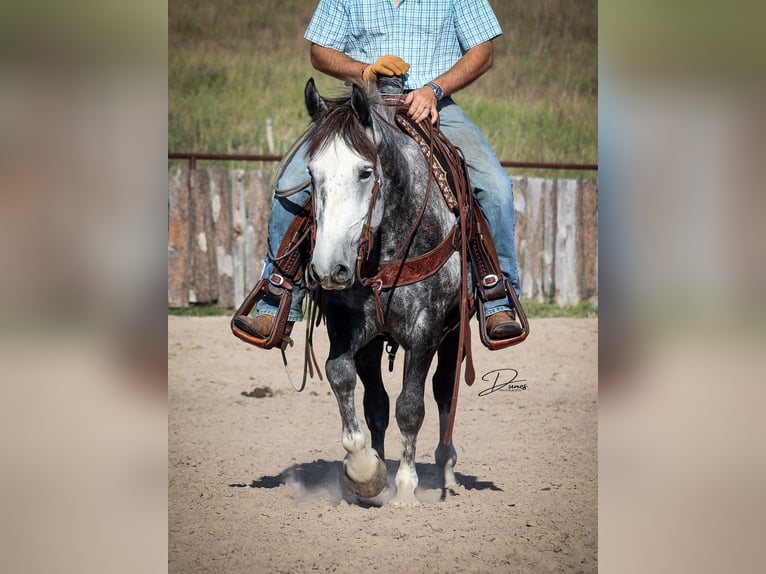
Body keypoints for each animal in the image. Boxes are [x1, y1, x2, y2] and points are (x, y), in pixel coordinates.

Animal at [302, 78, 473, 506]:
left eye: (366, 172)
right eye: (311, 172)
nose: (328, 268)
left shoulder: (426, 332)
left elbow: (411, 406)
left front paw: (406, 489)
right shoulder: (346, 326)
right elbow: (341, 376)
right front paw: (366, 470)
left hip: (453, 335)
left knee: (443, 391)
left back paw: (446, 471)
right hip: (376, 341)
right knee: (376, 402)